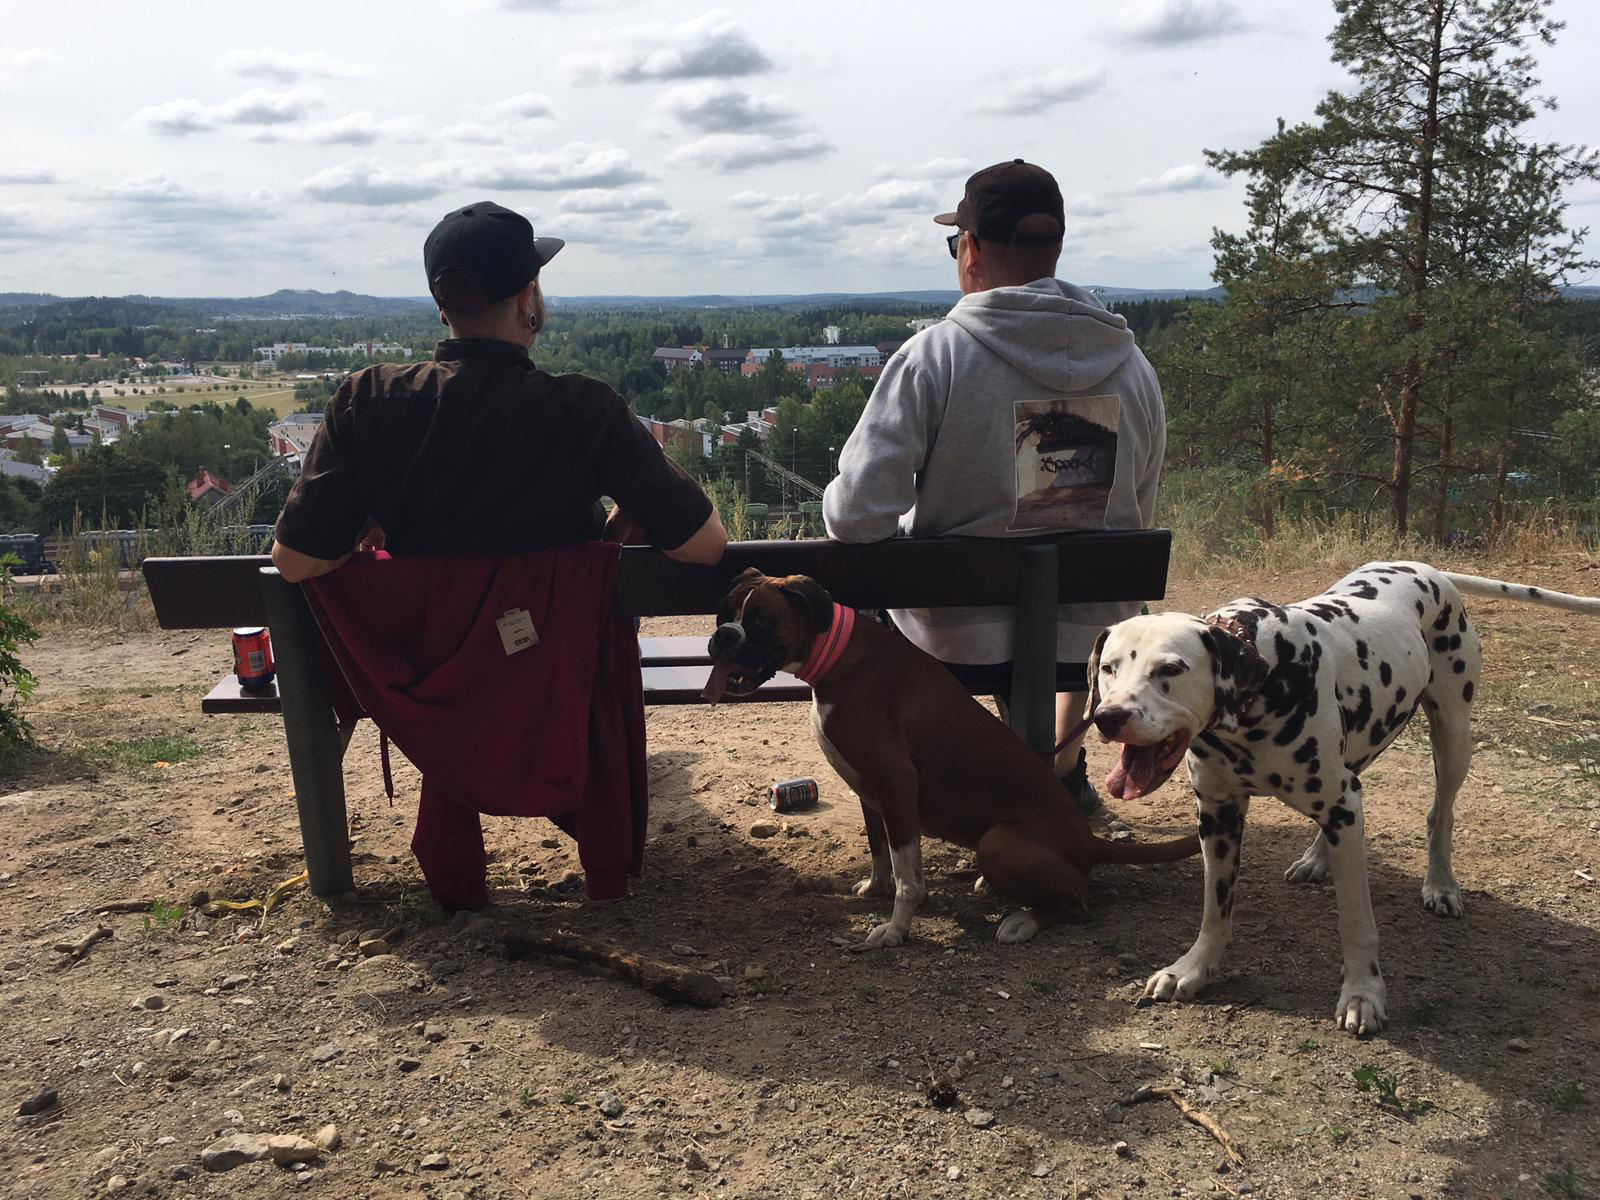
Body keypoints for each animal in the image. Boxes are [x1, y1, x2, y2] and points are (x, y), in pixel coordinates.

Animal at [703, 568, 1199, 949]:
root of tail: (1089, 840)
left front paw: (897, 929)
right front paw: (878, 888)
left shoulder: (896, 781)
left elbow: (906, 871)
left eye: (761, 620)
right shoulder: (870, 791)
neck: (837, 656)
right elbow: (883, 852)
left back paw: (1023, 920)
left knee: (1078, 902)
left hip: (998, 842)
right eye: (724, 613)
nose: (722, 636)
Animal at [1085, 561, 1600, 1035]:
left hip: (1453, 738)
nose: (1108, 717)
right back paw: (1317, 858)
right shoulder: (1219, 815)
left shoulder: (1342, 808)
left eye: (1170, 669)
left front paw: (1363, 995)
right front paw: (1192, 969)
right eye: (1109, 668)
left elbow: (1356, 923)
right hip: (1359, 759)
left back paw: (1440, 884)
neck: (1261, 687)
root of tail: (1428, 567)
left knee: (1441, 815)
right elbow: (1216, 907)